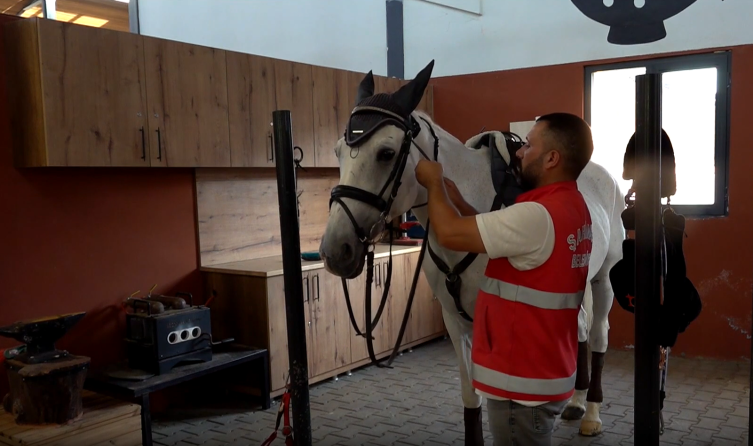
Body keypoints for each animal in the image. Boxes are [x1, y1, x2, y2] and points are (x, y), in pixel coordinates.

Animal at [320, 61, 624, 442]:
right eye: (337, 151)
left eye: (386, 153)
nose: (335, 249)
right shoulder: (455, 321)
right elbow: (470, 396)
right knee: (581, 328)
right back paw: (577, 401)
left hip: (603, 279)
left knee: (598, 334)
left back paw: (592, 412)